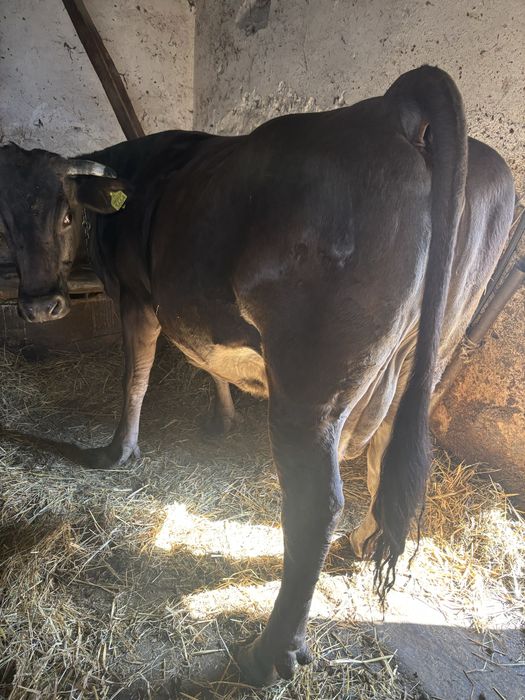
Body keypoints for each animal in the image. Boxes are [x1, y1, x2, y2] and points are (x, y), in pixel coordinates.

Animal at [0, 66, 515, 686]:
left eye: (67, 214)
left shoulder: (137, 295)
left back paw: (269, 654)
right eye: (4, 219)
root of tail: (395, 109)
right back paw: (360, 546)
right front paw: (220, 417)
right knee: (385, 448)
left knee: (315, 502)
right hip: (430, 352)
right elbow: (205, 361)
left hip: (311, 384)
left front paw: (117, 451)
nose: (40, 307)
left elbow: (136, 375)